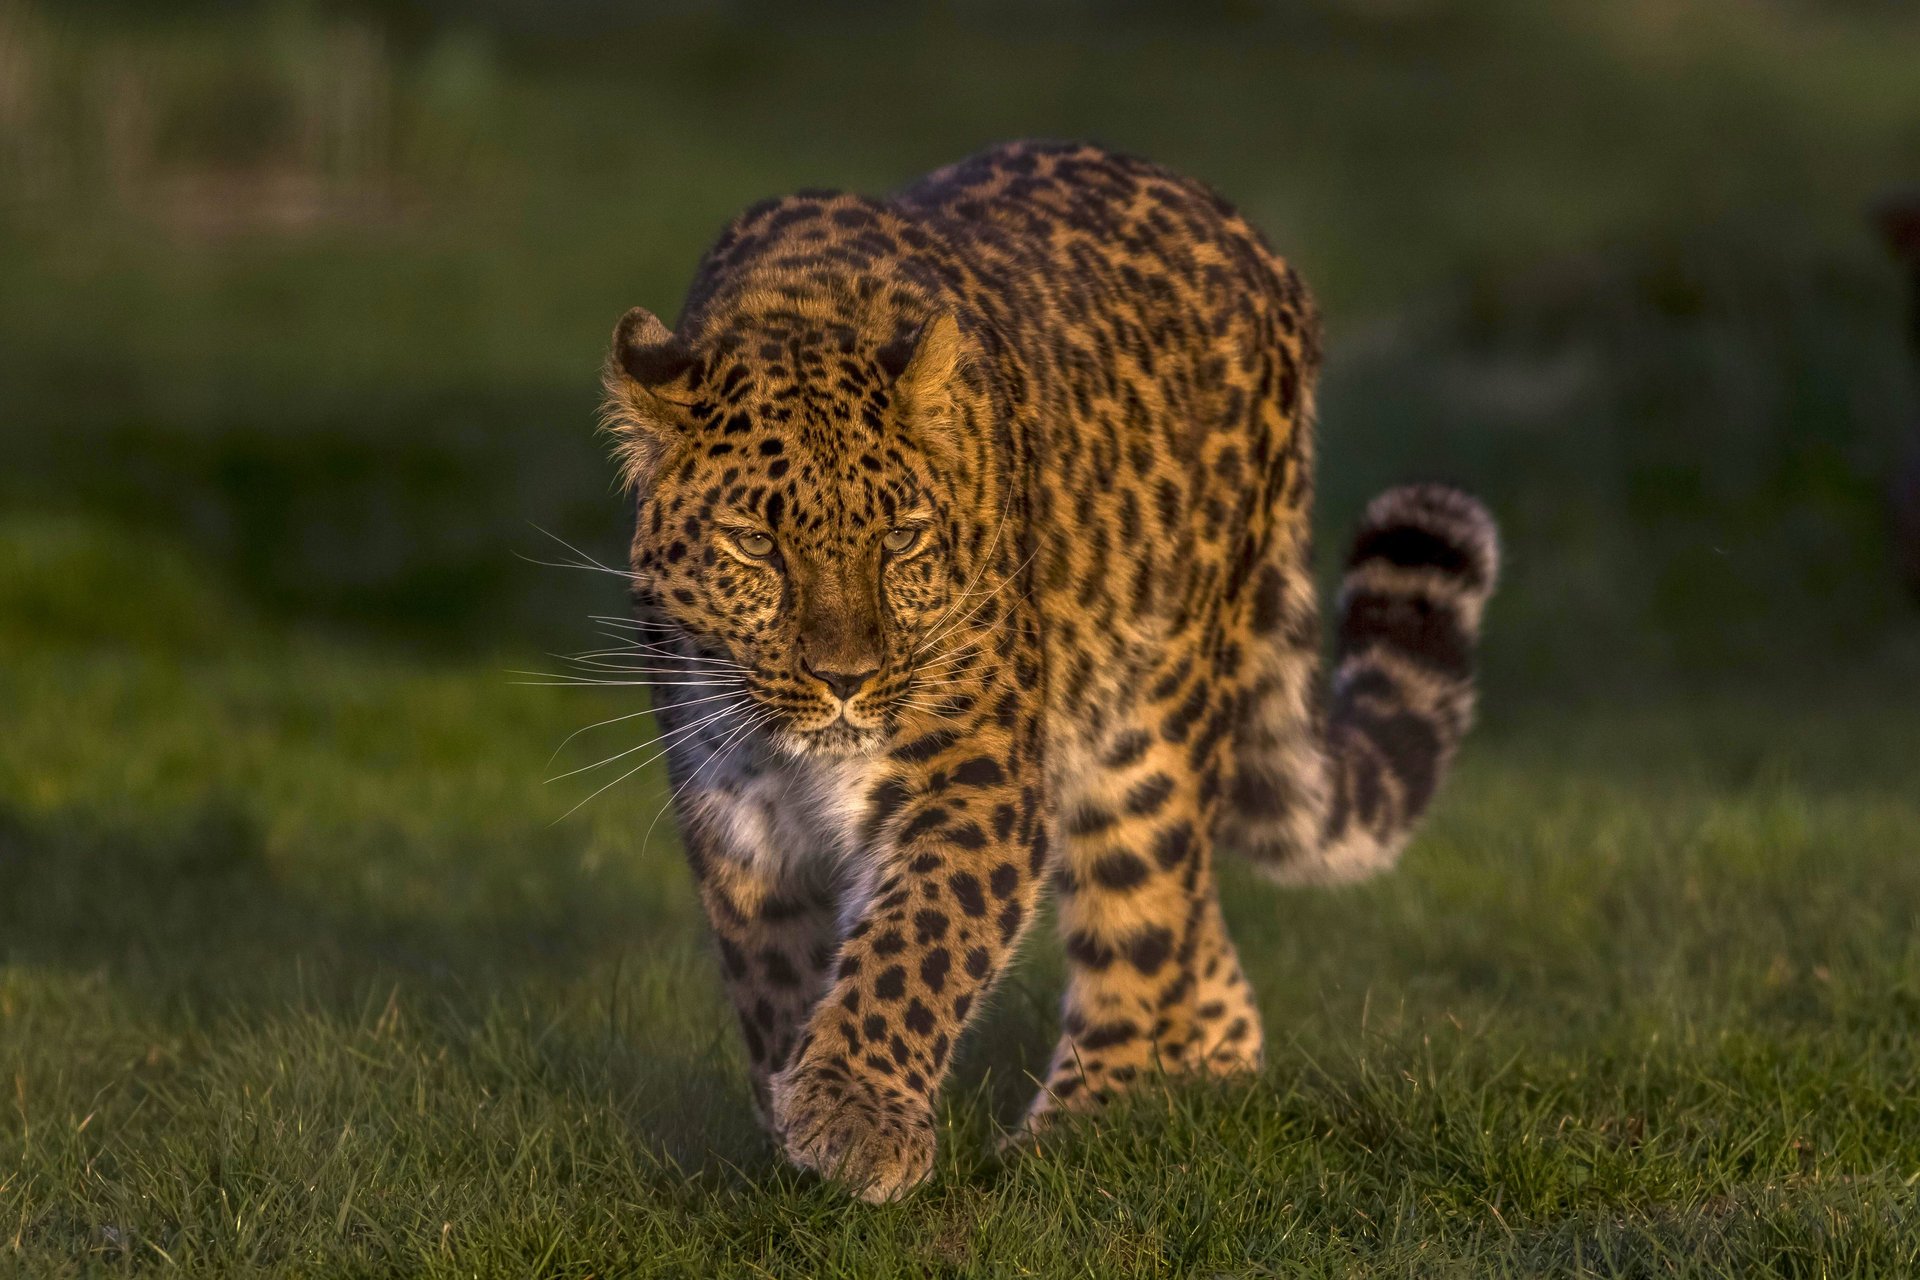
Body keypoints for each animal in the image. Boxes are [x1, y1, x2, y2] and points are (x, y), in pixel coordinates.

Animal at [596, 140, 1499, 1201]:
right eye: (753, 545)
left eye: (900, 540)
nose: (846, 679)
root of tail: (1262, 251)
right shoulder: (737, 812)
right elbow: (774, 977)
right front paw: (793, 1117)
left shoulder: (973, 773)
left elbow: (916, 941)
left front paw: (854, 1115)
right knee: (1203, 945)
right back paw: (1213, 1081)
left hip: (1147, 727)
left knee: (1147, 928)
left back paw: (1077, 1137)